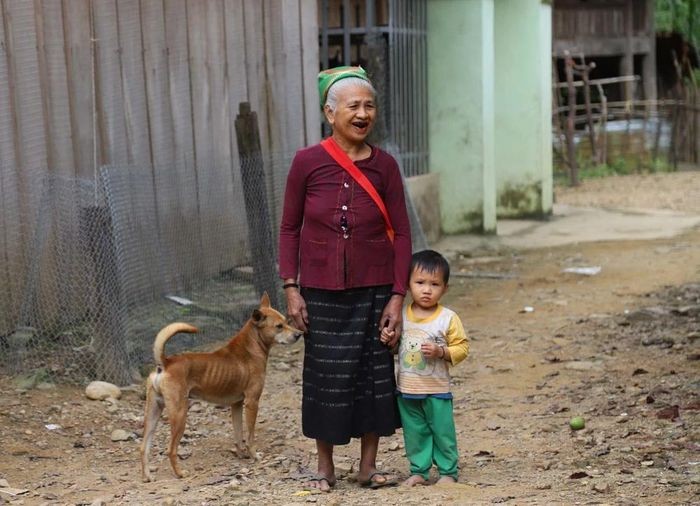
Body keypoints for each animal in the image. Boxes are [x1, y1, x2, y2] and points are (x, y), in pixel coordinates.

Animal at [139, 290, 300, 480]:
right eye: (279, 326)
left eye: (287, 322)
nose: (299, 334)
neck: (250, 348)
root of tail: (165, 363)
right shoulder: (252, 402)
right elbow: (250, 436)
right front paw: (254, 455)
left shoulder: (237, 404)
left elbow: (238, 434)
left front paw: (241, 455)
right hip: (179, 414)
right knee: (170, 449)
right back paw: (180, 473)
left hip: (153, 413)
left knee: (143, 447)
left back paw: (148, 477)